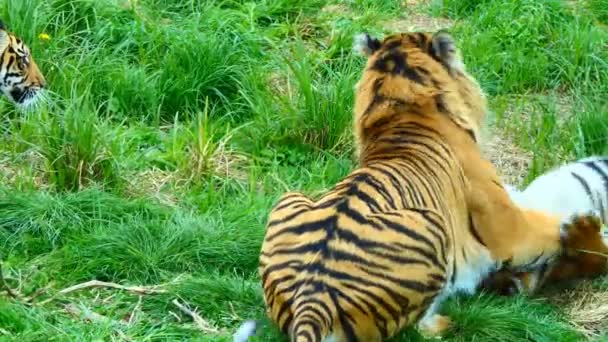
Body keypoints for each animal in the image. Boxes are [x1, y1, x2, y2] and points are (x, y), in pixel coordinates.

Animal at [233, 30, 604, 342]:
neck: (400, 106)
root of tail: (313, 303)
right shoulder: (509, 229)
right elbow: (552, 228)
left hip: (289, 198)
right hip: (433, 227)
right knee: (422, 328)